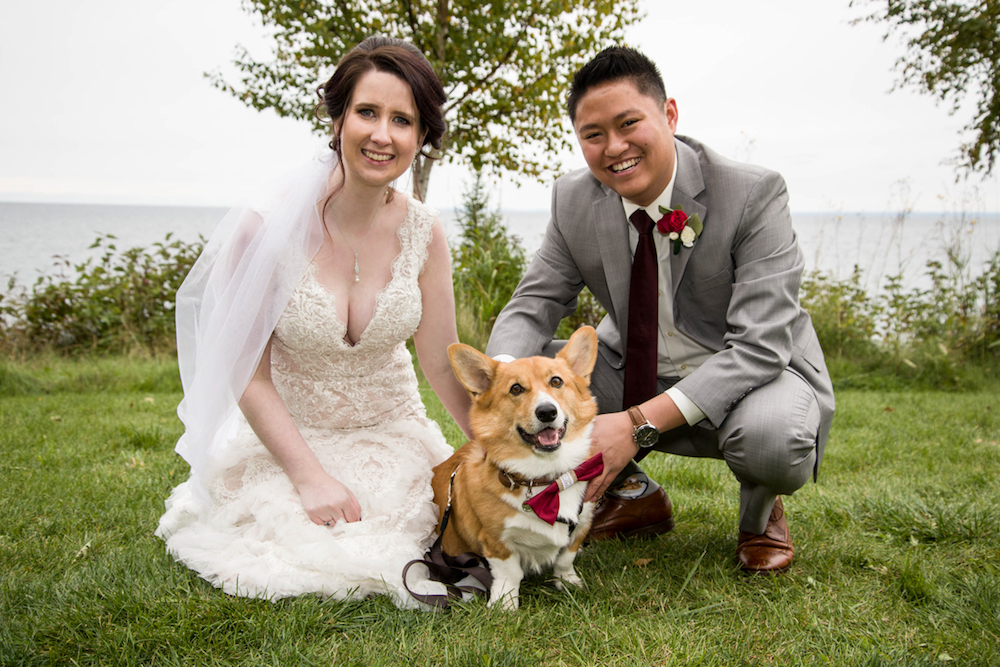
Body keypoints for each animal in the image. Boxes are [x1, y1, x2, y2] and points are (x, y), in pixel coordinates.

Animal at [432, 324, 600, 612]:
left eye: (556, 382)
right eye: (516, 389)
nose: (547, 412)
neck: (547, 482)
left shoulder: (581, 525)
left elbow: (565, 557)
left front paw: (568, 582)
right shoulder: (496, 540)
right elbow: (510, 573)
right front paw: (505, 604)